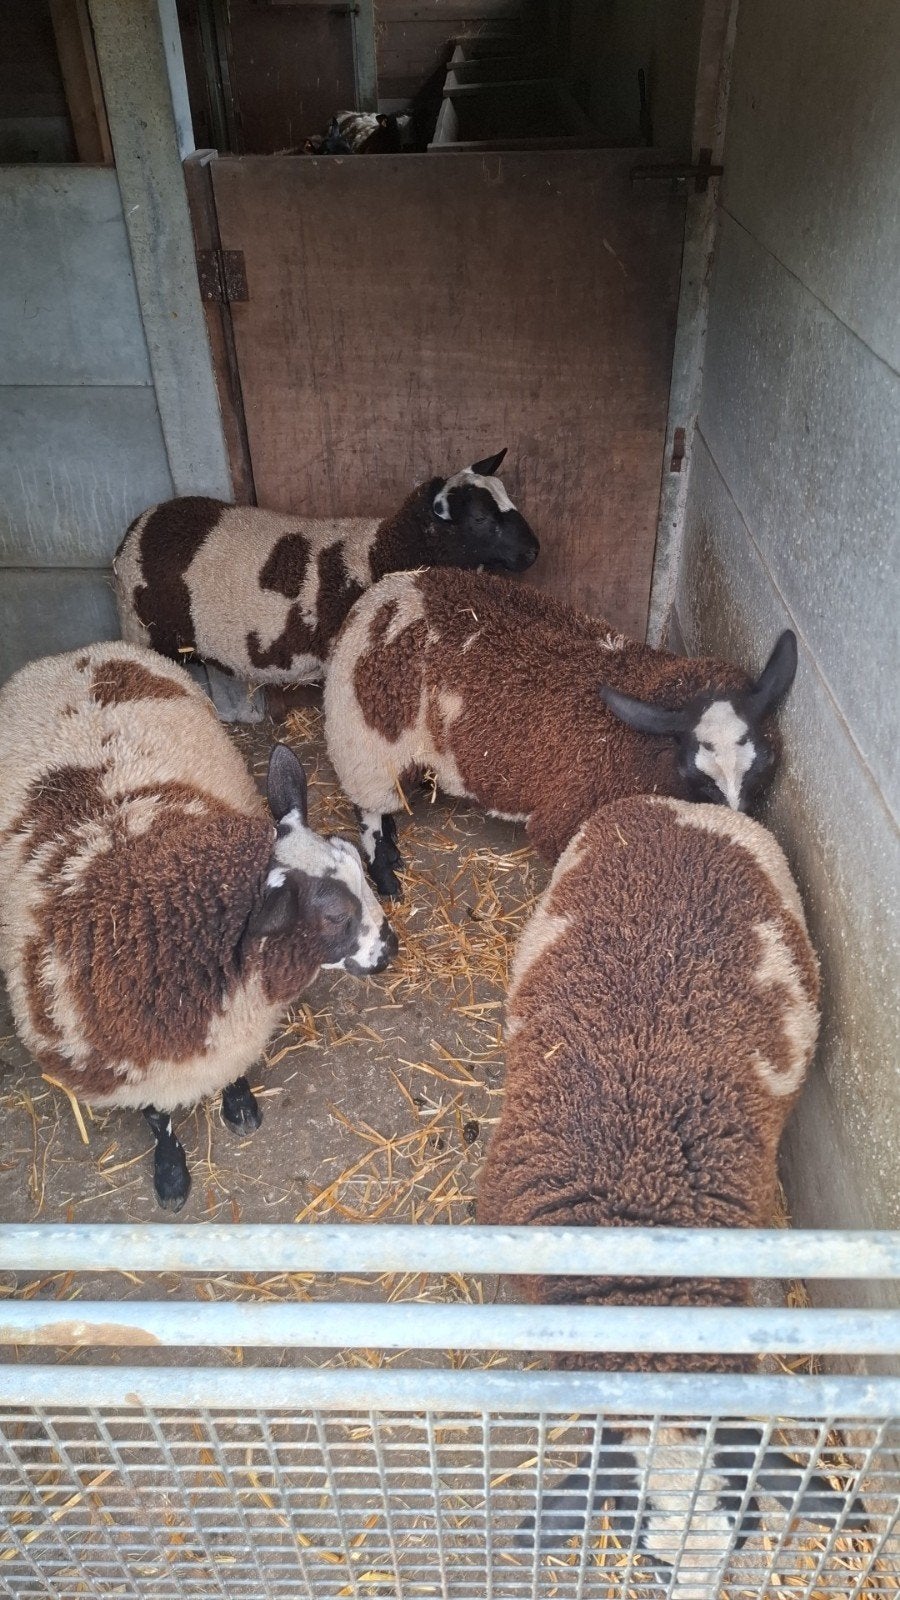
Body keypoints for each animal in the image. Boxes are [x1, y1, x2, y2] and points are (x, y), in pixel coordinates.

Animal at [0, 641, 397, 1211]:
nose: (391, 948)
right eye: (335, 915)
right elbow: (157, 1119)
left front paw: (239, 1105)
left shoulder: (232, 1032)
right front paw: (171, 1174)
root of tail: (72, 655)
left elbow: (232, 1074)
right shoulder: (133, 1067)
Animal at [322, 567, 798, 896]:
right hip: (366, 746)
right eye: (694, 773)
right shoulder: (565, 821)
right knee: (368, 809)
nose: (738, 827)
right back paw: (385, 868)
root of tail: (384, 591)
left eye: (766, 764)